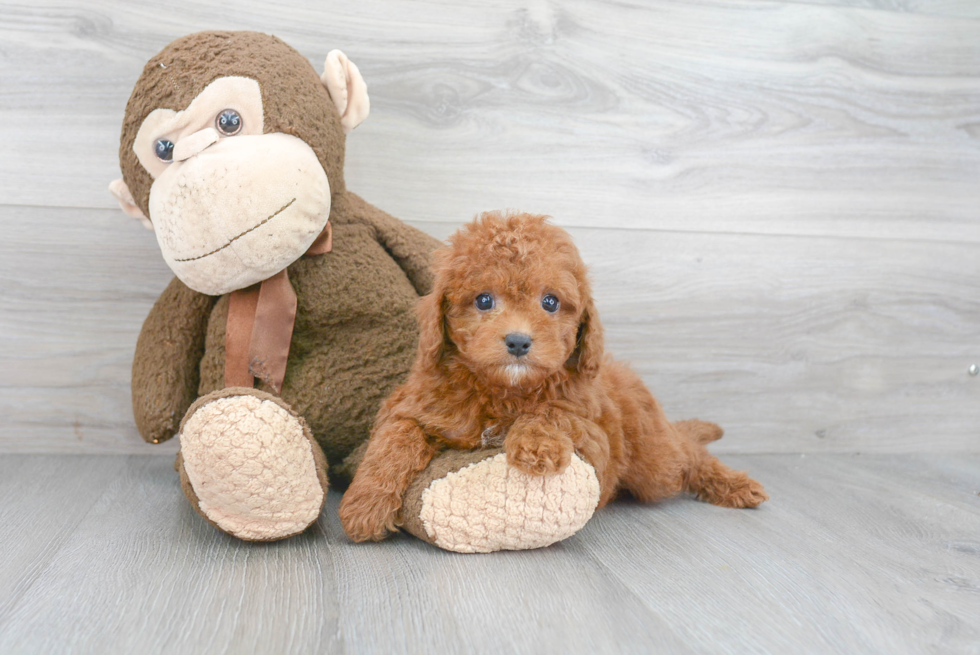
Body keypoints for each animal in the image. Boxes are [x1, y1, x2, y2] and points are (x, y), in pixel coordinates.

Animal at [340, 211, 768, 544]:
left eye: (550, 302)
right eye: (483, 300)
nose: (518, 341)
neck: (504, 391)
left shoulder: (594, 434)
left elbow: (550, 411)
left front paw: (536, 445)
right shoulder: (414, 405)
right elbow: (395, 438)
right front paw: (365, 505)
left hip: (653, 458)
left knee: (686, 455)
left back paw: (737, 485)